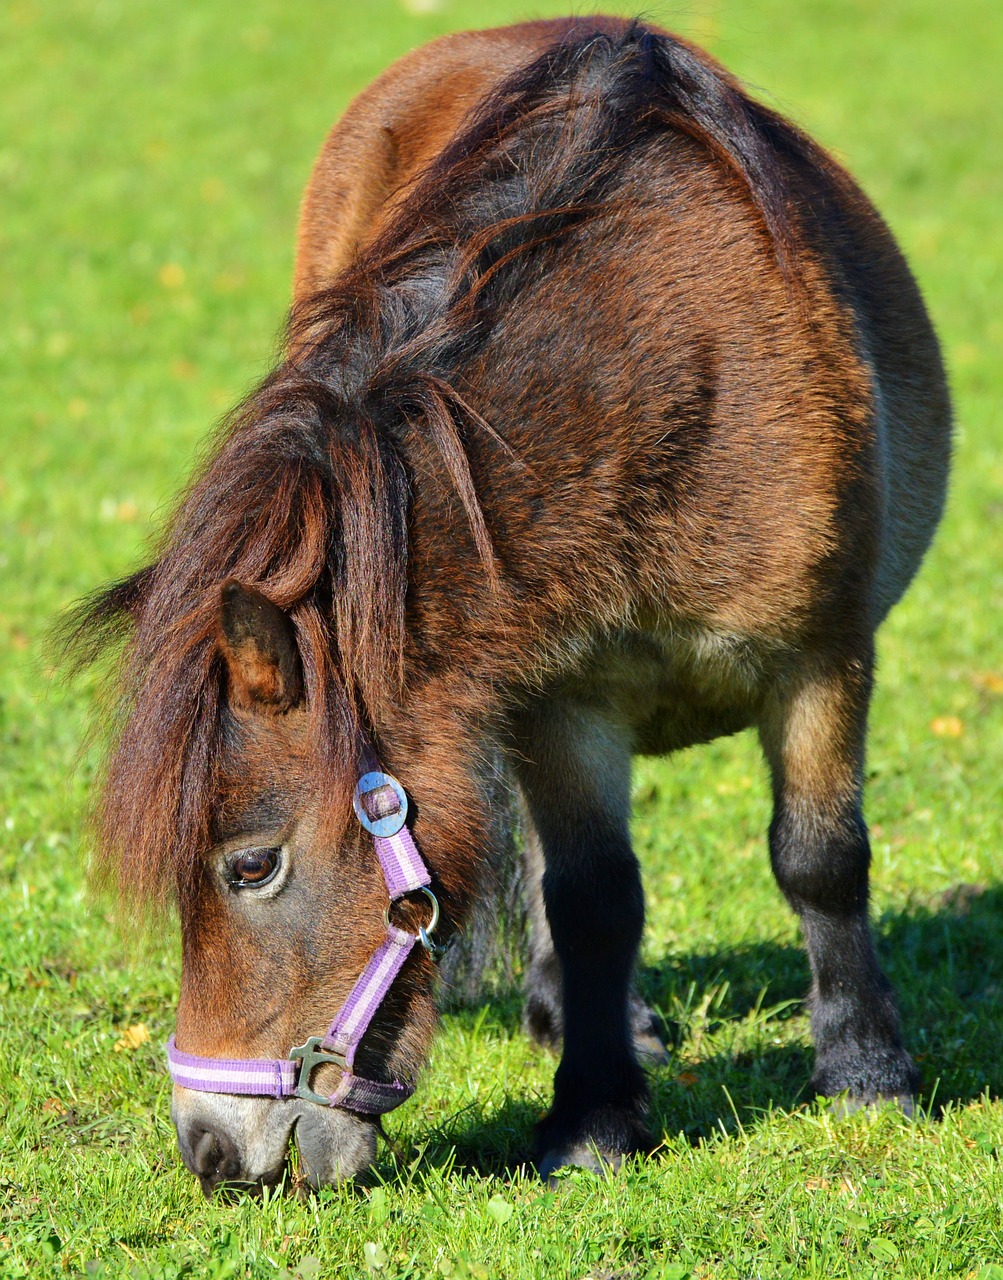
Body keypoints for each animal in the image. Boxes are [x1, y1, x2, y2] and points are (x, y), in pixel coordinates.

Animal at [76, 17, 946, 1187]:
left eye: (251, 864)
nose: (210, 1150)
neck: (665, 376)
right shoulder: (559, 696)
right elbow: (589, 896)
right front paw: (594, 1115)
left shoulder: (822, 653)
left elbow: (822, 859)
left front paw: (866, 1071)